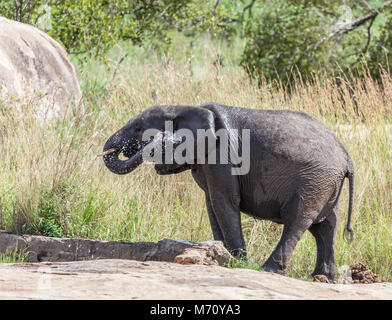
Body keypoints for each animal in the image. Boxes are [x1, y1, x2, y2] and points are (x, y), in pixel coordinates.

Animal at [102, 102, 356, 280]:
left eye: (138, 129)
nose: (156, 142)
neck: (186, 107)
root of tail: (347, 157)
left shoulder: (222, 155)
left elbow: (224, 202)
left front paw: (237, 262)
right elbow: (212, 205)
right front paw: (219, 253)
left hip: (314, 181)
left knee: (297, 221)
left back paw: (268, 270)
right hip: (325, 183)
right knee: (325, 227)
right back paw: (321, 277)